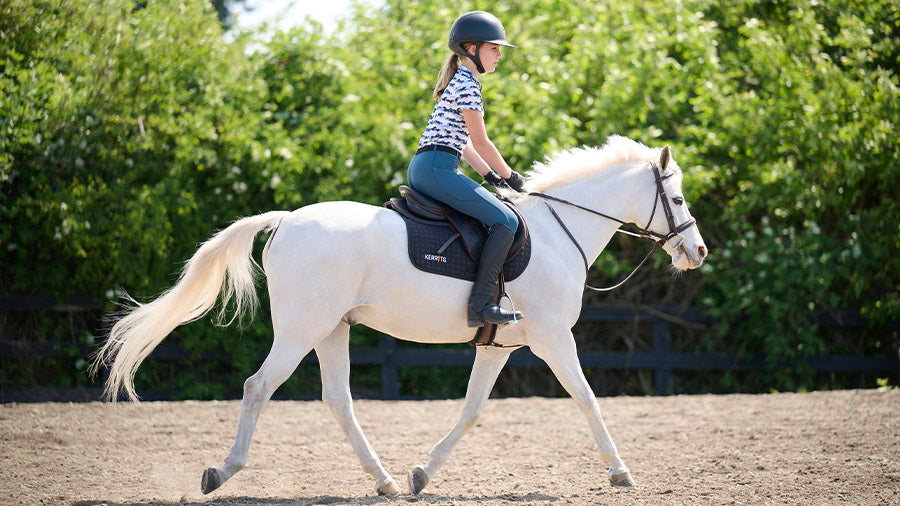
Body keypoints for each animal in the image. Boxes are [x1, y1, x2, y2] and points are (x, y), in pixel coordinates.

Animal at [91, 135, 707, 497]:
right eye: (676, 199)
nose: (697, 252)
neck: (560, 232)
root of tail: (287, 219)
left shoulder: (499, 345)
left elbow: (471, 412)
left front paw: (421, 474)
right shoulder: (555, 338)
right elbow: (587, 398)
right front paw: (621, 471)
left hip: (332, 331)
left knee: (338, 401)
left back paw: (386, 480)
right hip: (301, 330)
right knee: (257, 387)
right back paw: (221, 472)